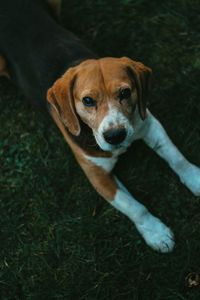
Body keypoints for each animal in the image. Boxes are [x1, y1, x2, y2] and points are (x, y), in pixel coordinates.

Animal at [0, 0, 200, 253]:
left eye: (125, 93)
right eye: (87, 100)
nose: (115, 136)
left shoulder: (148, 124)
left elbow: (176, 157)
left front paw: (195, 178)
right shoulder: (97, 175)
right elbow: (134, 207)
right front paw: (156, 232)